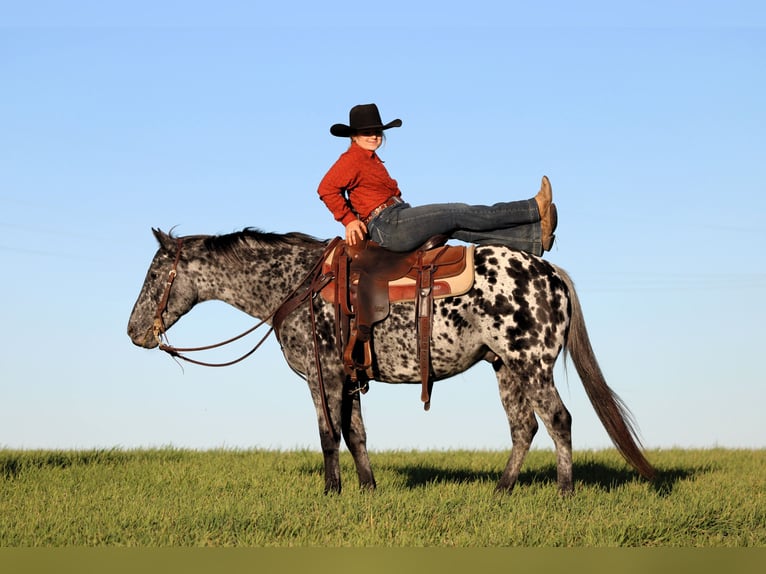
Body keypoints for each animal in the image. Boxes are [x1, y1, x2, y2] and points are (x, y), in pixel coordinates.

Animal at [127, 228, 655, 495]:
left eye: (153, 274)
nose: (133, 331)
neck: (297, 284)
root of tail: (551, 272)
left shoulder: (322, 375)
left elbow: (328, 434)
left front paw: (332, 491)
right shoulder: (349, 377)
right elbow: (356, 433)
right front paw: (367, 489)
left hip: (532, 365)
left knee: (559, 420)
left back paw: (565, 492)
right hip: (505, 368)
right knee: (524, 427)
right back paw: (502, 489)